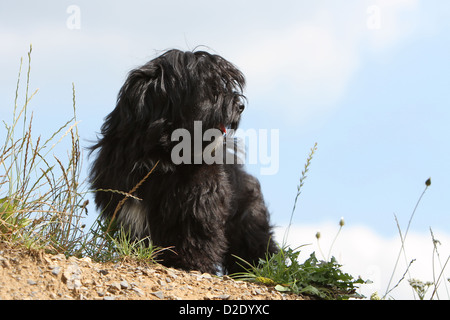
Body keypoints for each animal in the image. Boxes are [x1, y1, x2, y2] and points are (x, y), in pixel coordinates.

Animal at [89, 48, 276, 274]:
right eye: (211, 89)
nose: (240, 105)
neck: (161, 154)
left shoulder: (198, 203)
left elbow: (195, 236)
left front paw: (193, 264)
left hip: (248, 220)